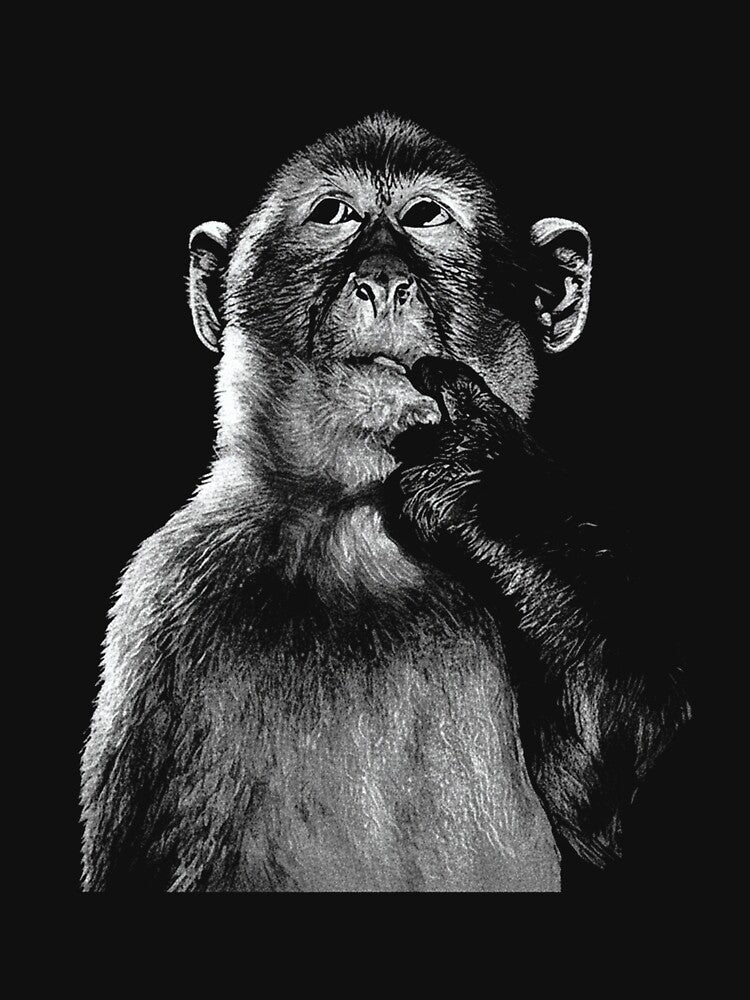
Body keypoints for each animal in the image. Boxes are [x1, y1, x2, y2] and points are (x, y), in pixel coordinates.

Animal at [80, 112, 689, 892]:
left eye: (425, 216)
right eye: (333, 214)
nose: (382, 280)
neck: (359, 529)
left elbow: (601, 807)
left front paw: (489, 491)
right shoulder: (171, 594)